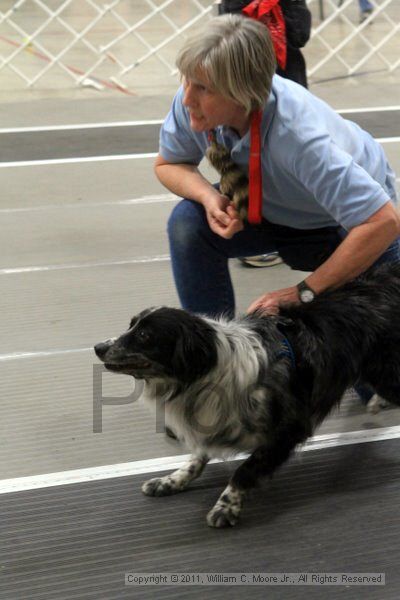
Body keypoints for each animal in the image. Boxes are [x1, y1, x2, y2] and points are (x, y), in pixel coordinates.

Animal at [94, 264, 400, 528]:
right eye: (130, 325)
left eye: (144, 335)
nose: (98, 347)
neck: (208, 374)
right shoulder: (211, 420)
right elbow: (196, 458)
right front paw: (171, 481)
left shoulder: (290, 429)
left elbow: (245, 469)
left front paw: (226, 506)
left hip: (385, 374)